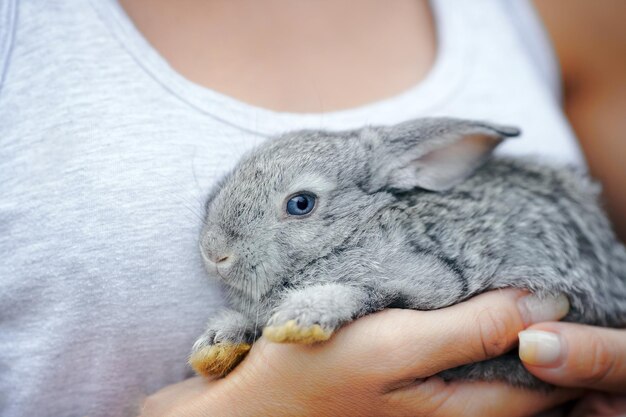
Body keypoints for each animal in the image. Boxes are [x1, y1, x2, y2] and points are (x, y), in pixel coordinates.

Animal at [189, 116, 624, 386]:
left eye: (301, 203)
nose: (215, 252)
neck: (351, 231)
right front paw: (215, 346)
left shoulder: (426, 283)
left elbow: (358, 292)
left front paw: (300, 318)